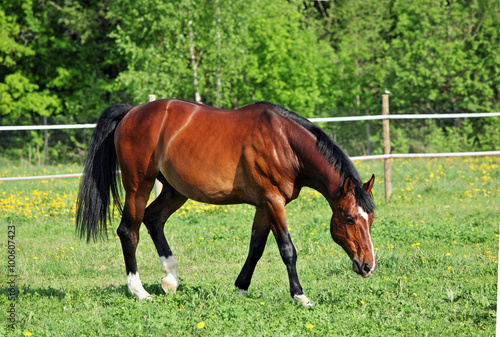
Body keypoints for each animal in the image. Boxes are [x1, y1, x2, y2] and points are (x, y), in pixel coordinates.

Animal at [76, 98, 376, 306]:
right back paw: (139, 291)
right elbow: (287, 250)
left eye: (370, 219)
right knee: (129, 231)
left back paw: (170, 279)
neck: (284, 142)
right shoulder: (273, 201)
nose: (368, 266)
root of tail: (132, 112)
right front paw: (300, 296)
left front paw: (241, 287)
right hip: (139, 186)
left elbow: (256, 248)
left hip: (175, 190)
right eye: (349, 218)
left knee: (154, 219)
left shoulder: (264, 205)